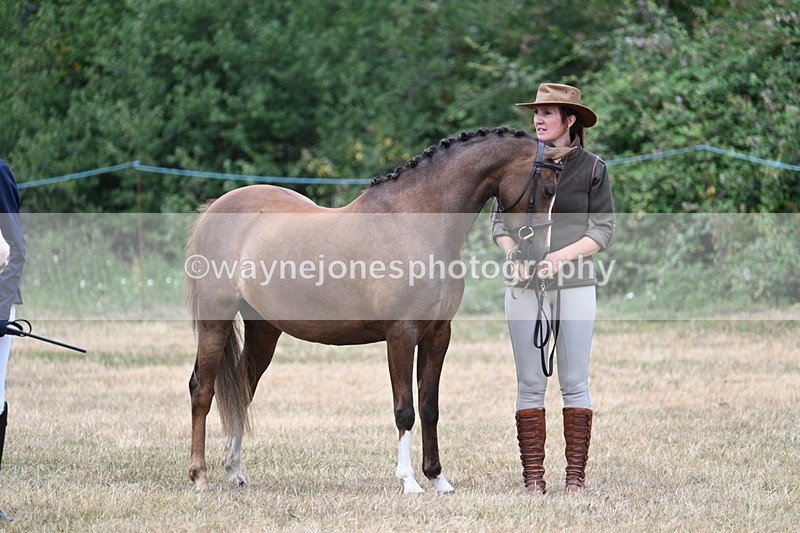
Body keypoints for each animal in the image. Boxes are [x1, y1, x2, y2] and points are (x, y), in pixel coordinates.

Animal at [185, 126, 572, 493]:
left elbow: (429, 407)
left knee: (242, 389)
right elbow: (405, 410)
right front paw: (409, 481)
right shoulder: (401, 334)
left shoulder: (438, 335)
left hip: (264, 329)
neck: (416, 222)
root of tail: (214, 210)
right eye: (548, 189)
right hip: (215, 320)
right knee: (202, 389)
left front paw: (438, 479)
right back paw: (200, 476)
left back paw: (235, 472)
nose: (539, 253)